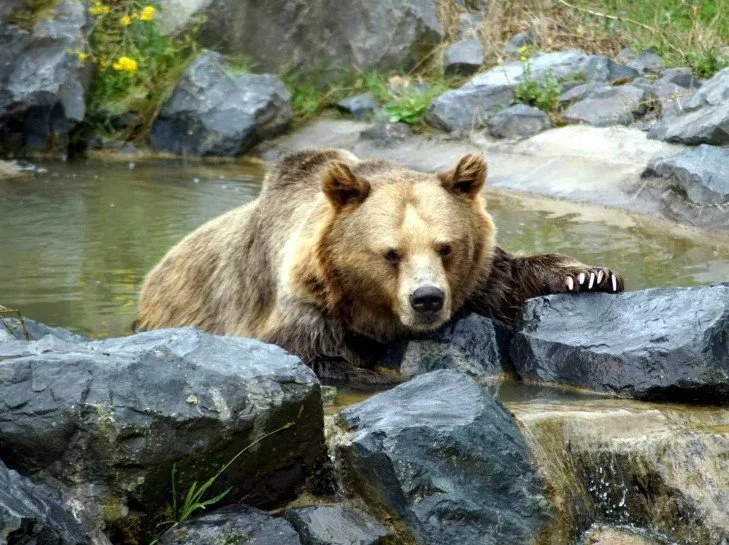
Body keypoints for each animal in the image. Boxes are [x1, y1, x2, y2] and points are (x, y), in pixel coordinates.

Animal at [137, 149, 624, 382]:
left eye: (445, 247)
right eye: (391, 253)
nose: (427, 299)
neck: (369, 310)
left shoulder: (476, 280)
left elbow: (507, 280)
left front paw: (589, 275)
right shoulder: (305, 307)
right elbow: (306, 354)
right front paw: (368, 373)